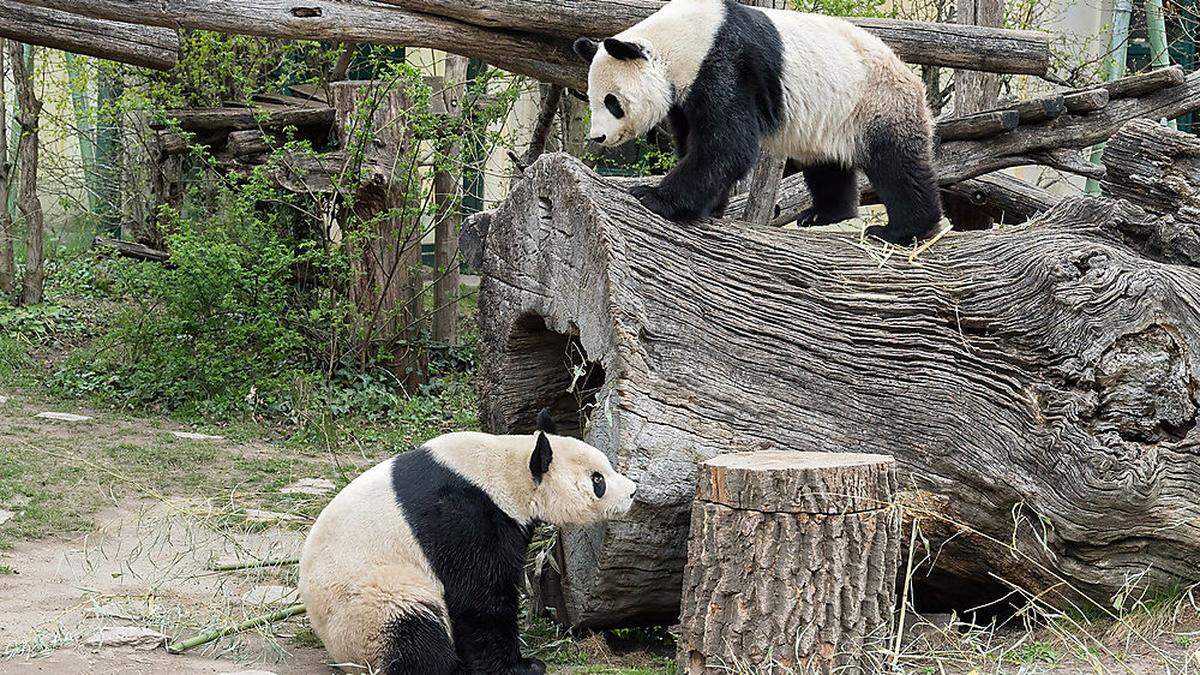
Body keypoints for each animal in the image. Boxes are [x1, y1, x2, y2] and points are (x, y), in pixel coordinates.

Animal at [300, 410, 638, 672]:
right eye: (598, 480)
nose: (633, 491)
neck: (505, 470)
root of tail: (342, 657)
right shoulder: (461, 515)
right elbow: (479, 595)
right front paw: (521, 666)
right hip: (371, 603)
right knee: (411, 632)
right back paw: (450, 668)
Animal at [576, 0, 940, 243]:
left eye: (612, 103)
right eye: (591, 98)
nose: (597, 138)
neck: (680, 42)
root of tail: (912, 79)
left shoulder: (726, 63)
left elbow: (727, 145)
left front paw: (653, 197)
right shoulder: (685, 93)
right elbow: (695, 140)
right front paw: (710, 207)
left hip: (876, 101)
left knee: (897, 166)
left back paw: (903, 230)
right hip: (832, 119)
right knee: (827, 165)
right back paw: (825, 215)